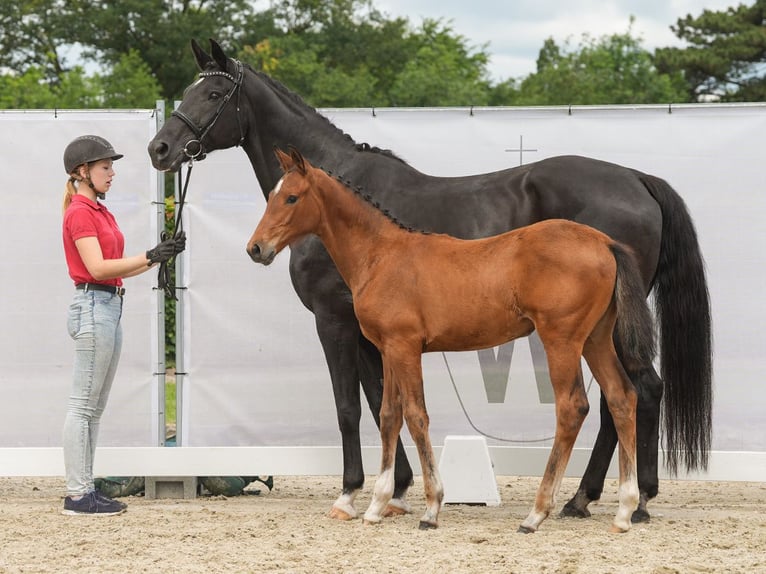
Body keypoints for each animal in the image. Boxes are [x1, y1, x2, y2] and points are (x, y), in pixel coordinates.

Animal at [148, 39, 712, 528]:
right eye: (190, 88)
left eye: (213, 94)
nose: (160, 147)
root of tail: (637, 179)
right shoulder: (375, 335)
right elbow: (383, 403)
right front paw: (397, 490)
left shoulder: (335, 321)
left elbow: (351, 408)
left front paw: (353, 493)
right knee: (631, 395)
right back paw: (598, 498)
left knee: (633, 393)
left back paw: (605, 500)